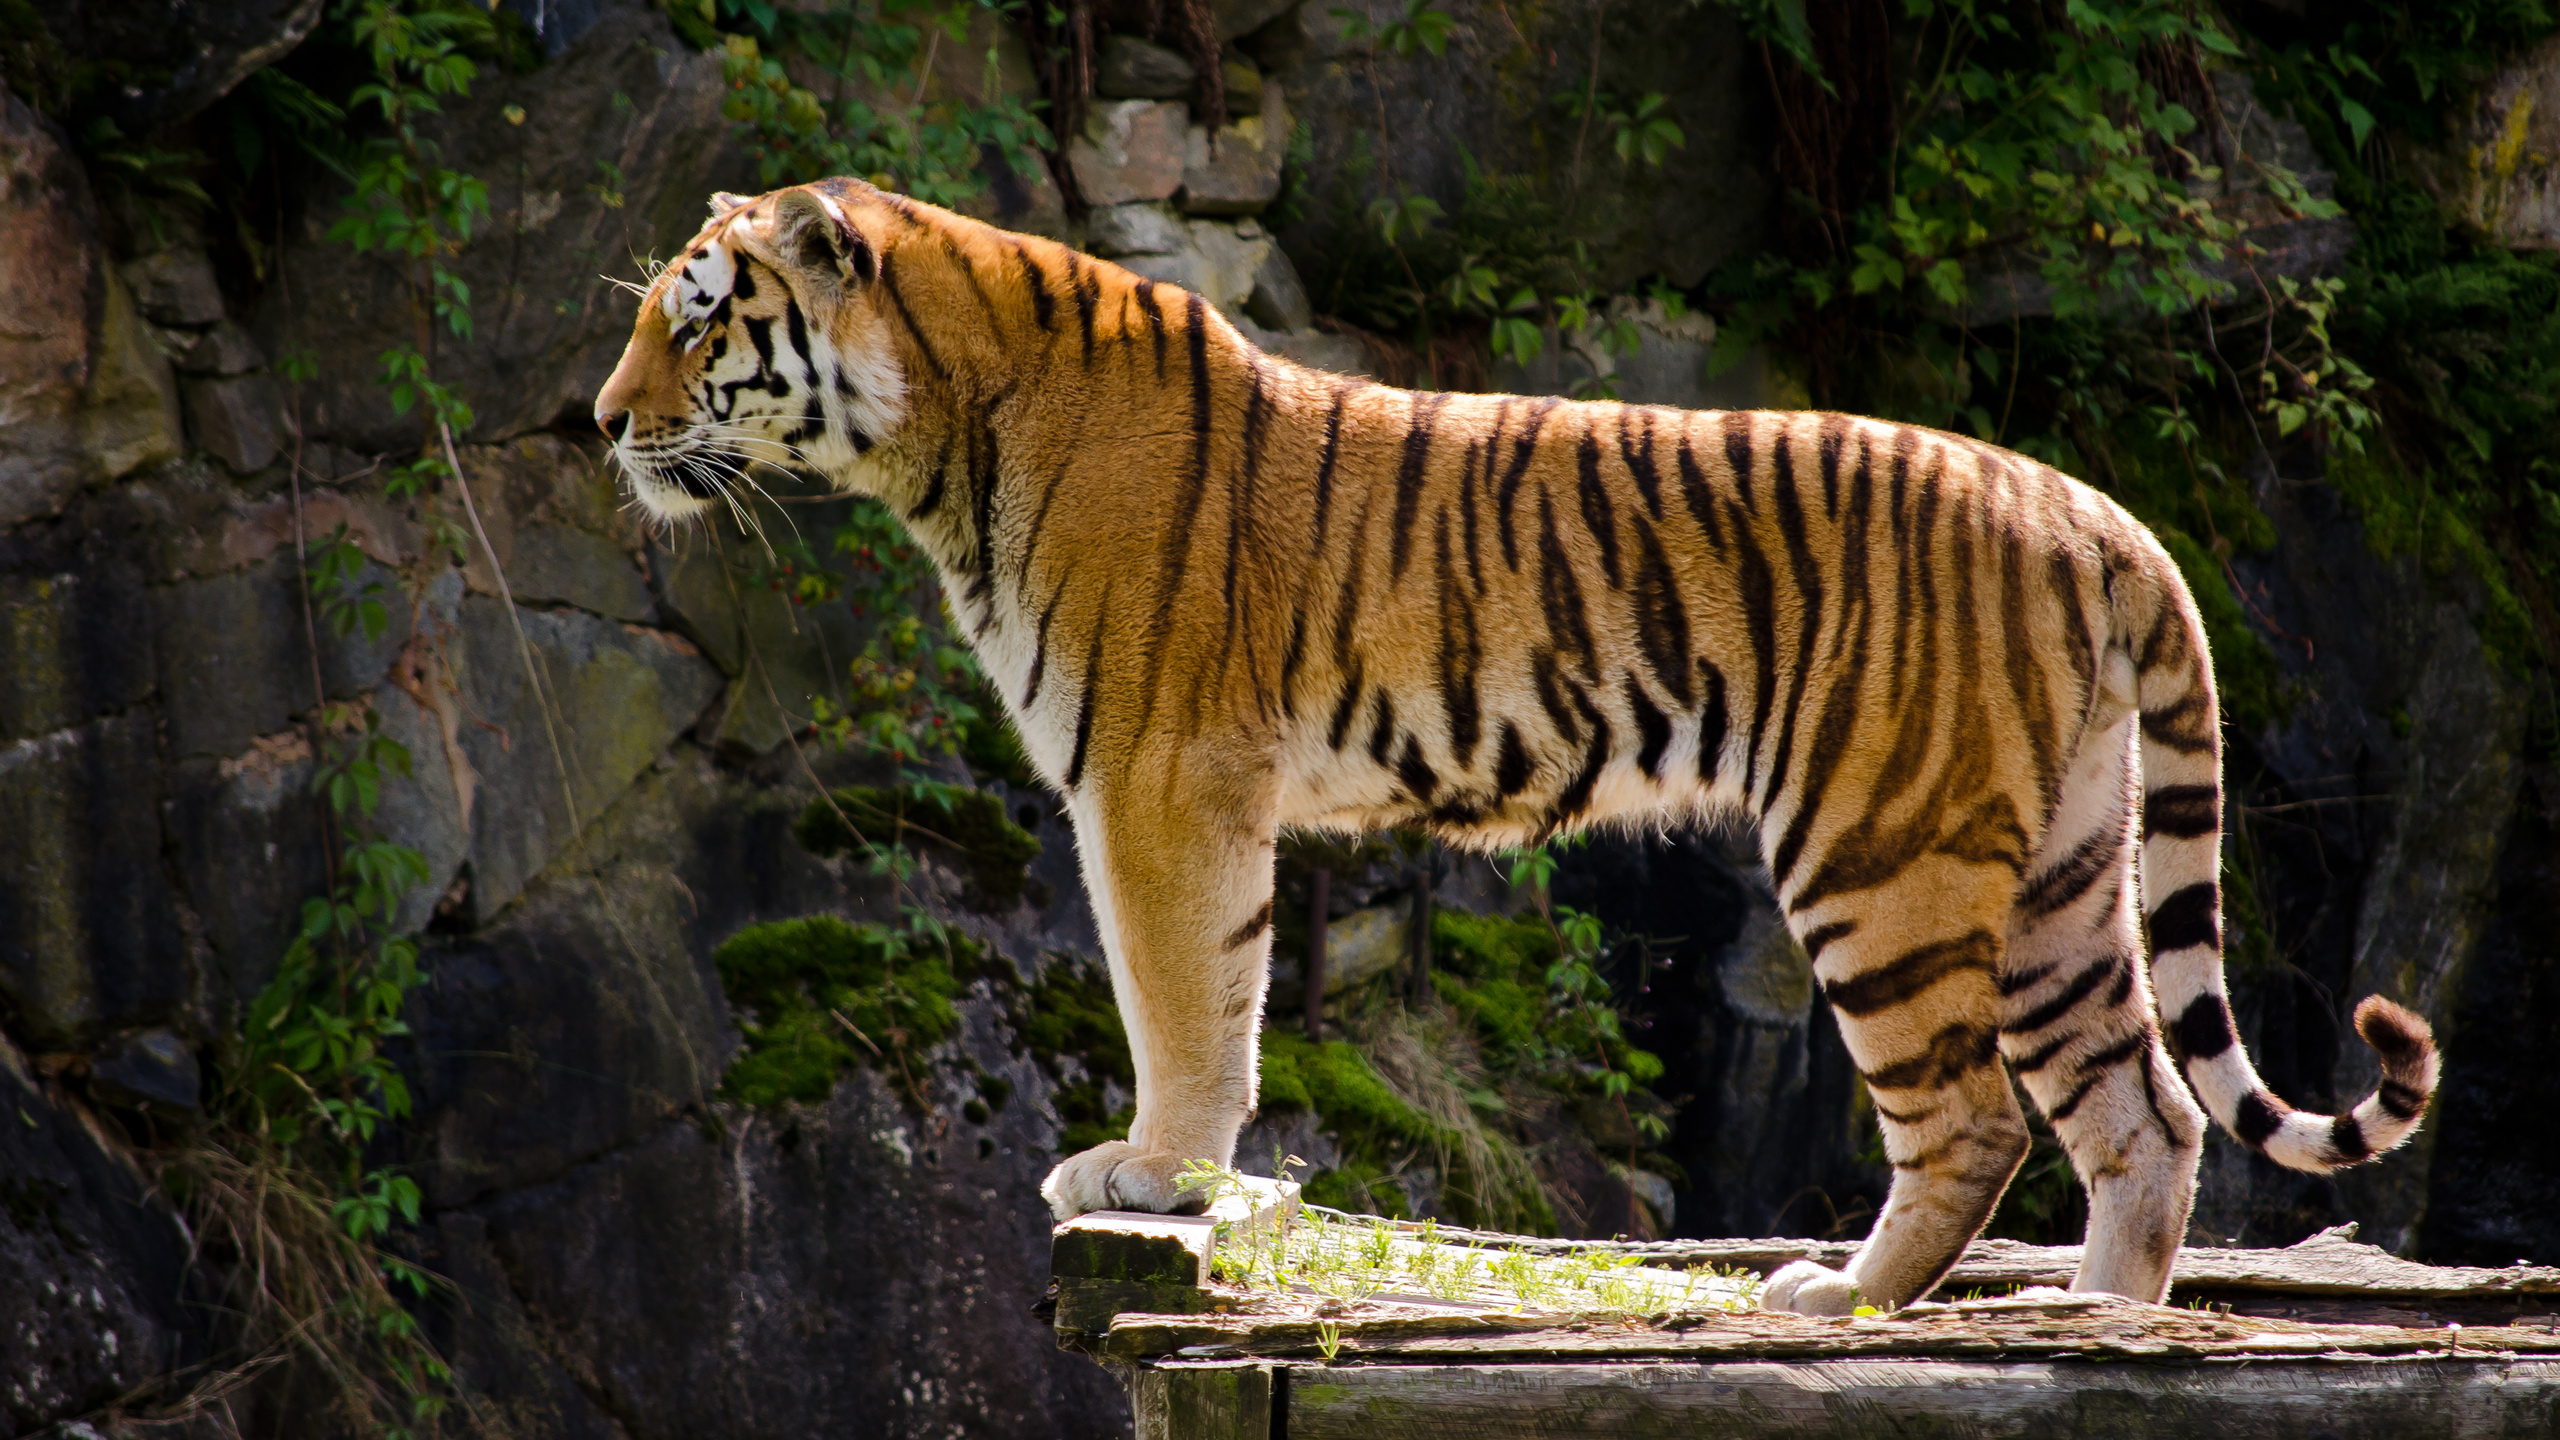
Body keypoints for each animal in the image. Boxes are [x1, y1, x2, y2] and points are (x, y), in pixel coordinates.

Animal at [593, 179, 2437, 1311]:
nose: (604, 423)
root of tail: (2092, 512)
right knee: (2149, 1116)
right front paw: (1179, 1169)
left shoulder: (1158, 778)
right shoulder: (1185, 787)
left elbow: (1182, 994)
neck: (940, 434)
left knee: (1981, 1119)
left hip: (1882, 854)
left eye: (696, 322)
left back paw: (1839, 1299)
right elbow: (1222, 989)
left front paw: (1154, 1172)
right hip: (2060, 868)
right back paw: (2102, 1320)